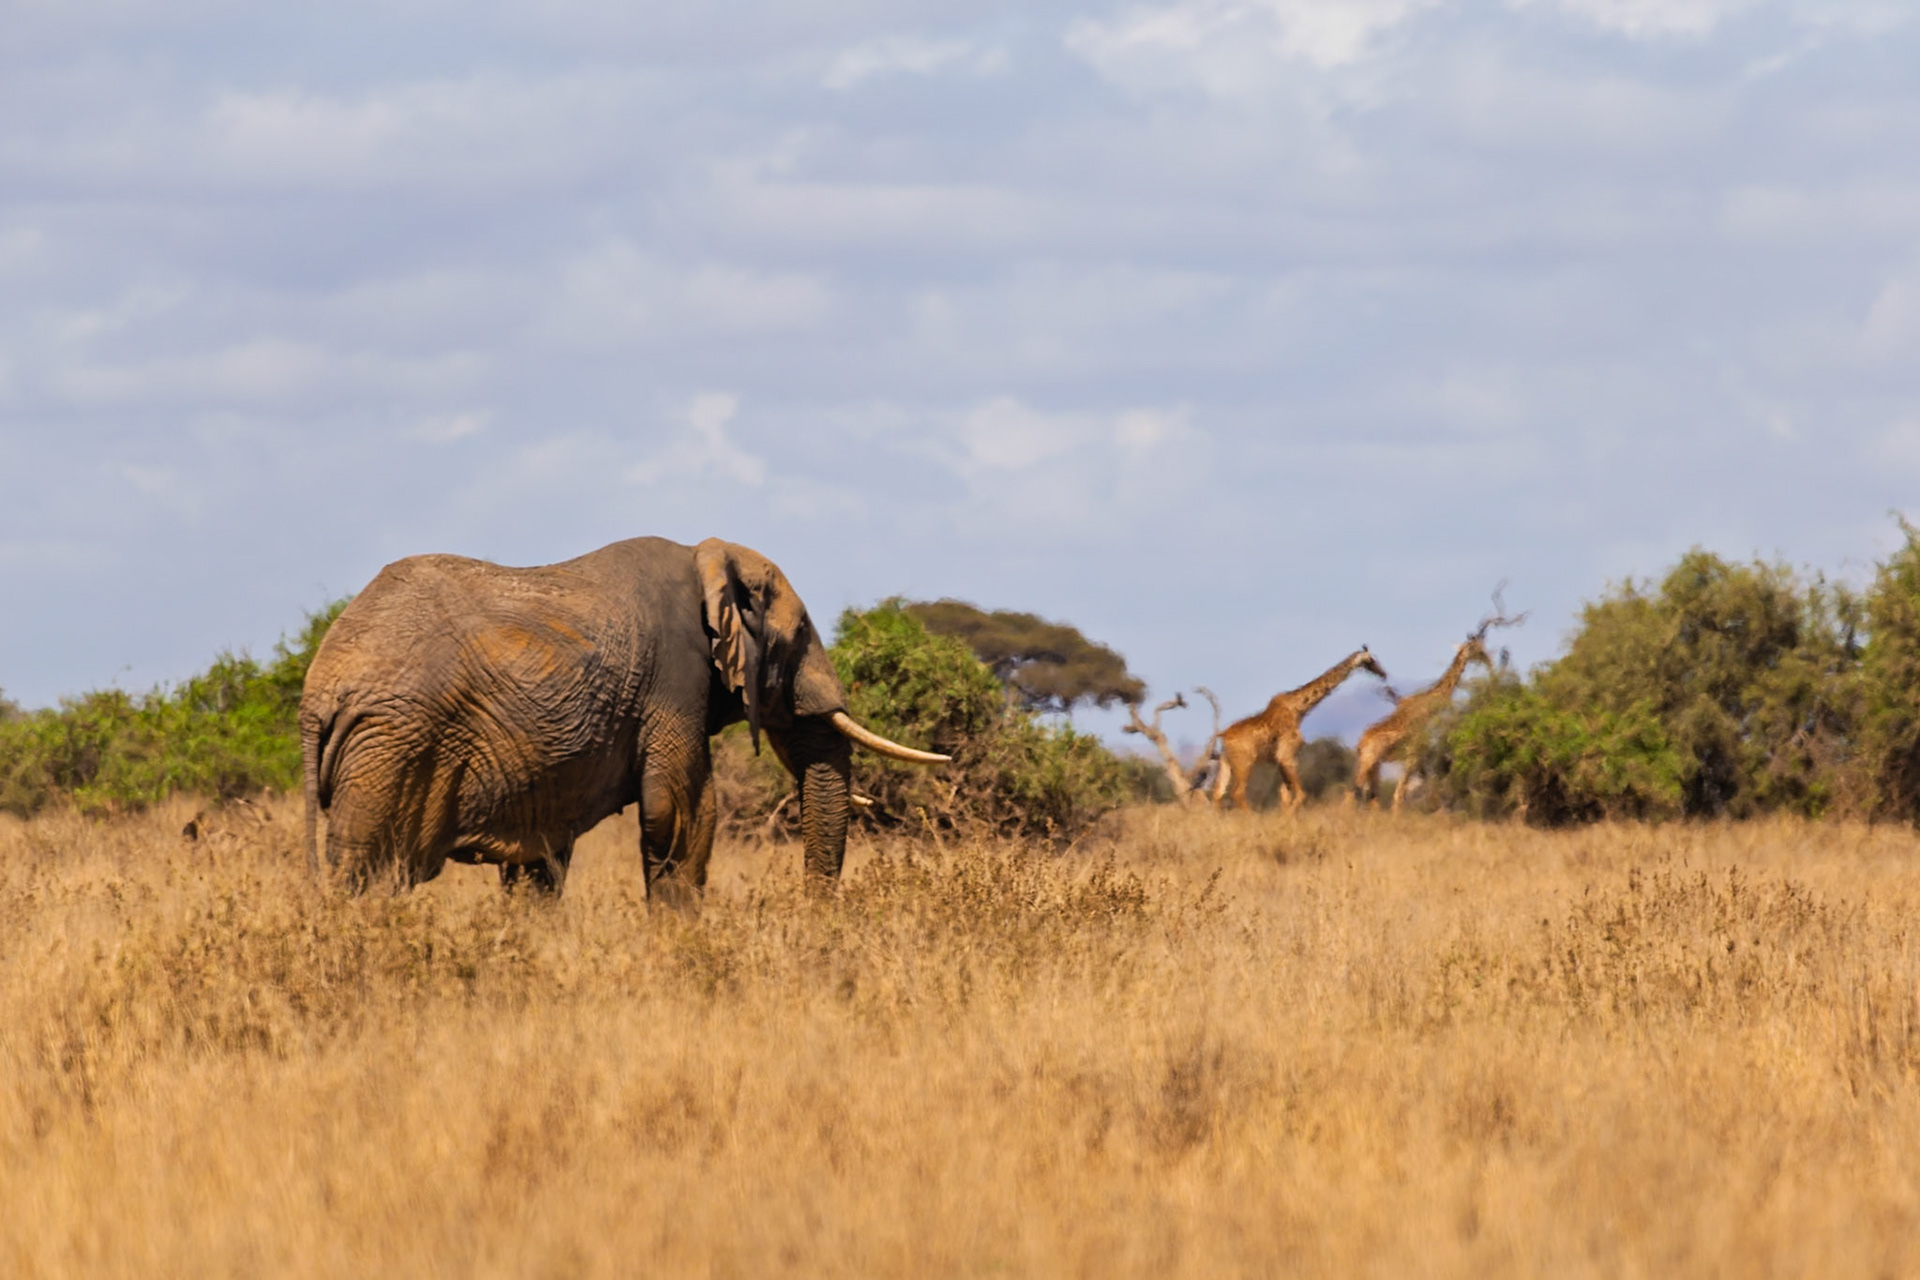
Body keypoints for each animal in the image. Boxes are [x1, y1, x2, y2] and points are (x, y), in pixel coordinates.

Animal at [299, 536, 947, 901]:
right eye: (803, 632)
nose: (810, 921)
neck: (705, 558)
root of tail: (316, 694)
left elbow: (539, 859)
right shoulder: (676, 677)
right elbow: (680, 811)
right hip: (393, 748)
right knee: (371, 875)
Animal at [1210, 647, 1387, 812]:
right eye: (1370, 659)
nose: (1383, 673)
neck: (1298, 709)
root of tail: (1223, 736)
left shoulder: (1282, 759)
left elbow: (1286, 796)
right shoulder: (1287, 755)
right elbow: (1301, 795)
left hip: (1226, 762)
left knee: (1218, 793)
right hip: (1244, 762)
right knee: (1237, 792)